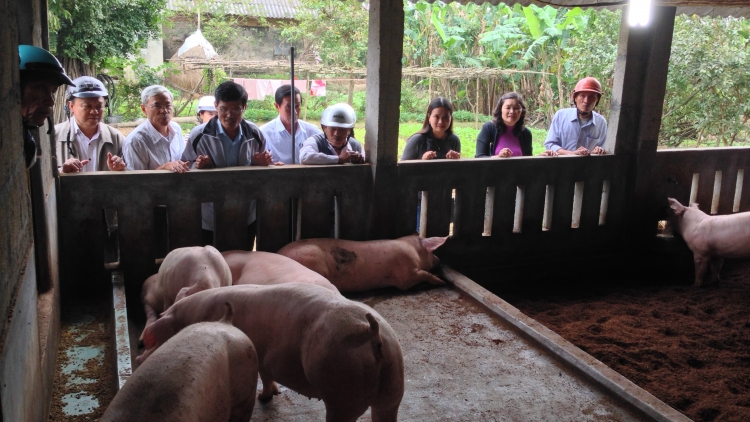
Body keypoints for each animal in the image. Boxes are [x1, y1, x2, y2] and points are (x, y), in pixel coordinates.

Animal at [137, 284, 402, 422]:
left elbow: (264, 375)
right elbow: (267, 375)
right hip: (393, 384)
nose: (139, 357)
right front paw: (267, 396)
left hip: (342, 388)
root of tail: (371, 332)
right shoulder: (264, 358)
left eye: (155, 341)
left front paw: (262, 399)